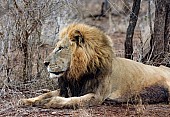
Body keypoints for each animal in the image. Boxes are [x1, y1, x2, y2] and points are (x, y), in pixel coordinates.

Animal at [19, 23, 170, 108]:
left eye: (60, 48)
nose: (45, 63)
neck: (77, 72)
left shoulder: (97, 96)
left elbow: (73, 101)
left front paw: (51, 102)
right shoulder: (71, 89)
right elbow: (45, 94)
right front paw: (26, 100)